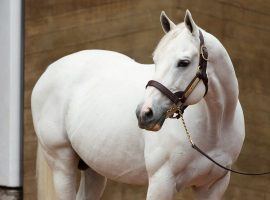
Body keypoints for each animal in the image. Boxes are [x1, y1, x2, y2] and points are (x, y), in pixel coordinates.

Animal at [31, 10, 245, 199]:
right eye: (156, 60)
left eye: (183, 62)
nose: (144, 113)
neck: (214, 126)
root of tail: (48, 71)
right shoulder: (161, 182)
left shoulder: (212, 187)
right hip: (62, 166)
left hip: (93, 169)